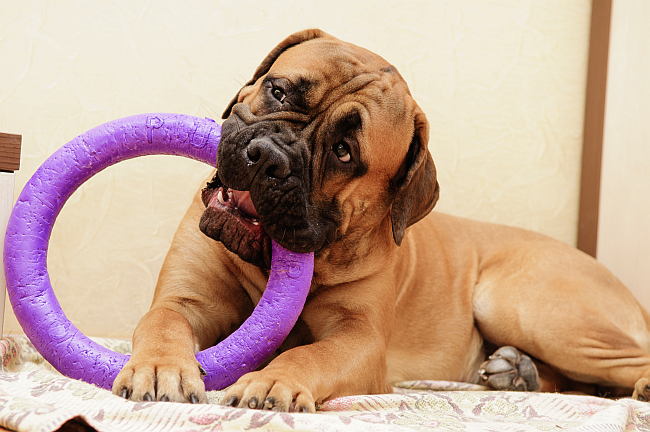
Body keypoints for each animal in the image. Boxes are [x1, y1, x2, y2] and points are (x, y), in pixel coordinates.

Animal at [111, 28, 648, 410]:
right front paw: (157, 369)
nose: (268, 157)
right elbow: (161, 322)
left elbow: (311, 353)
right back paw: (519, 372)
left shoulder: (359, 339)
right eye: (279, 92)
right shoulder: (187, 299)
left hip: (522, 304)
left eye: (344, 152)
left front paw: (273, 380)